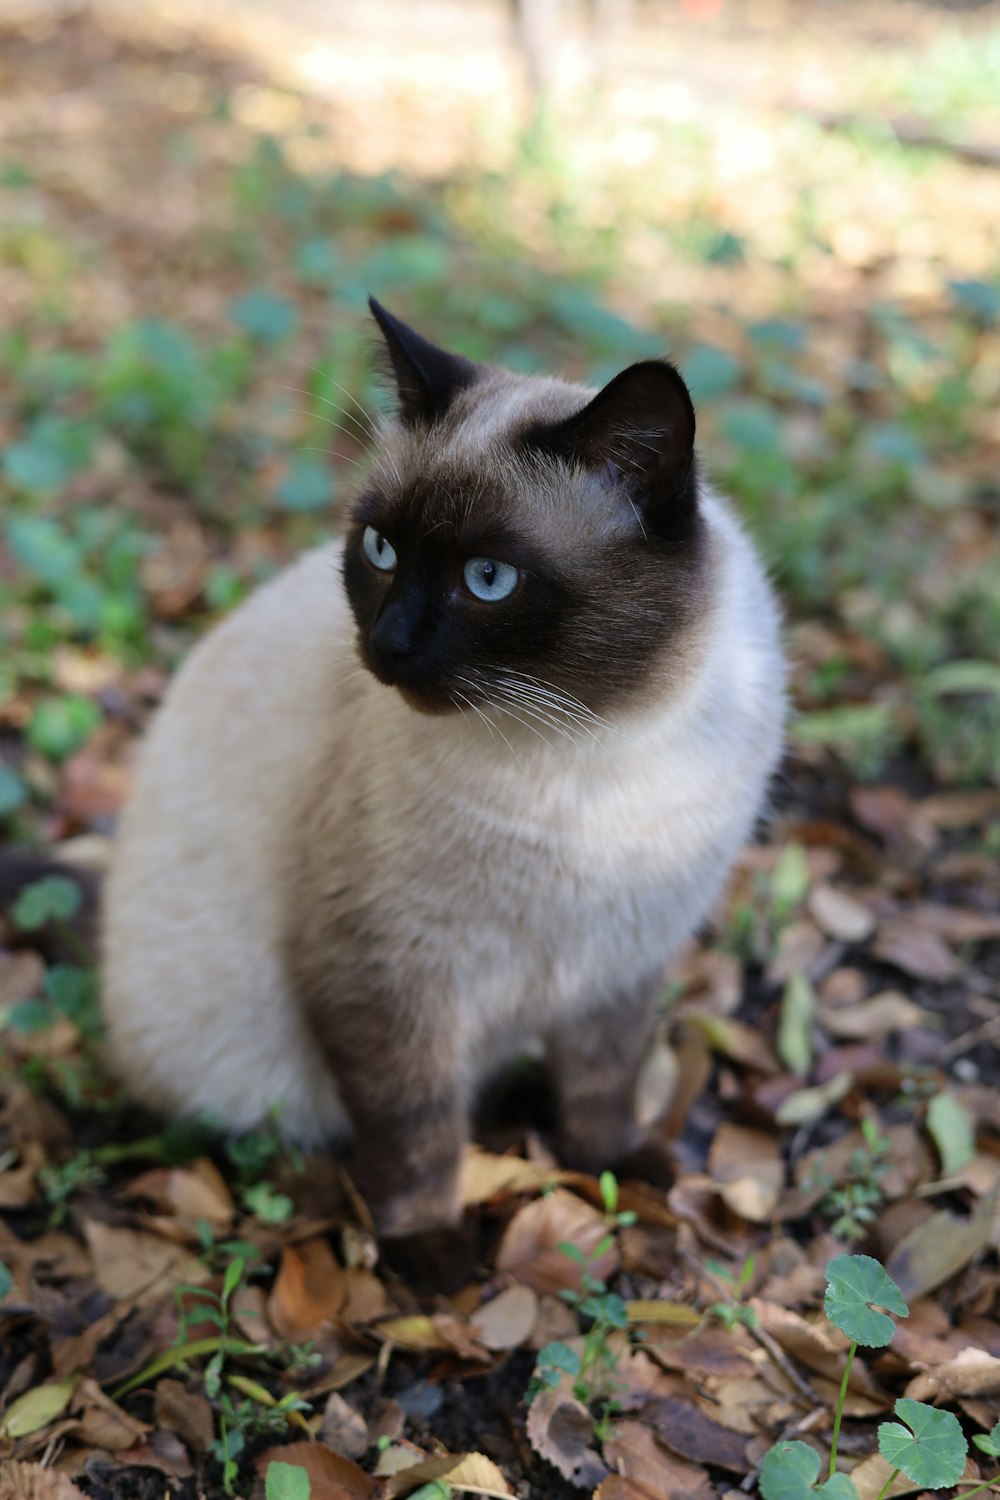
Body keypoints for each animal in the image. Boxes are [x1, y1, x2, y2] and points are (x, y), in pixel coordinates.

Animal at [101, 304, 791, 1266]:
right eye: (380, 550)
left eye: (488, 579)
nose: (386, 645)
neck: (588, 753)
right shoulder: (388, 972)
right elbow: (415, 1124)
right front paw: (427, 1249)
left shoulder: (620, 960)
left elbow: (601, 1083)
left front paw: (615, 1167)